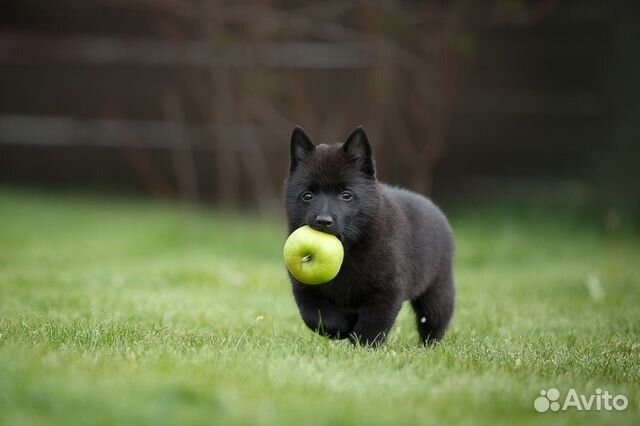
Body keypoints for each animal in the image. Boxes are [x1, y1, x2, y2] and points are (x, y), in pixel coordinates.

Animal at [284, 125, 456, 346]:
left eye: (346, 195)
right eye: (307, 196)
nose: (323, 220)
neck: (348, 252)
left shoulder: (386, 290)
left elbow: (373, 324)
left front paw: (362, 344)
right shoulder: (305, 289)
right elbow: (316, 317)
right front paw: (342, 328)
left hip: (437, 289)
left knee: (435, 319)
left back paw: (429, 346)